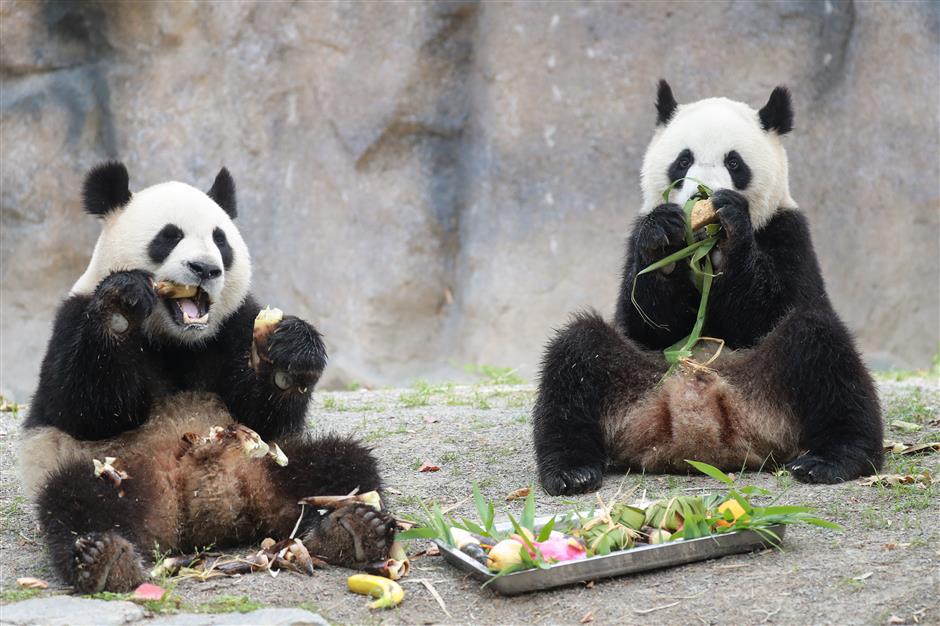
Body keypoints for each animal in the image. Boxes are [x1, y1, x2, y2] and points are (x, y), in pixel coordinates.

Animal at [21, 161, 396, 588]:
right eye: (169, 237)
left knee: (341, 465)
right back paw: (104, 558)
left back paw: (351, 527)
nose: (205, 268)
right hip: (123, 473)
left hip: (271, 464)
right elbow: (85, 407)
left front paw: (290, 350)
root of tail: (209, 504)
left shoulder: (234, 323)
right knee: (77, 498)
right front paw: (121, 306)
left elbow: (264, 414)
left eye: (221, 241)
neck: (177, 338)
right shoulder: (72, 318)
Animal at [532, 81, 884, 492]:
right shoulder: (634, 242)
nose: (700, 193)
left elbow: (783, 306)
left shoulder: (787, 231)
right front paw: (664, 237)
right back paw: (571, 471)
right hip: (639, 379)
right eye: (683, 161)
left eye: (734, 163)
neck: (702, 245)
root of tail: (701, 432)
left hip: (767, 383)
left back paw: (831, 460)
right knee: (577, 354)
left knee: (824, 349)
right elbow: (641, 322)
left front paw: (731, 224)